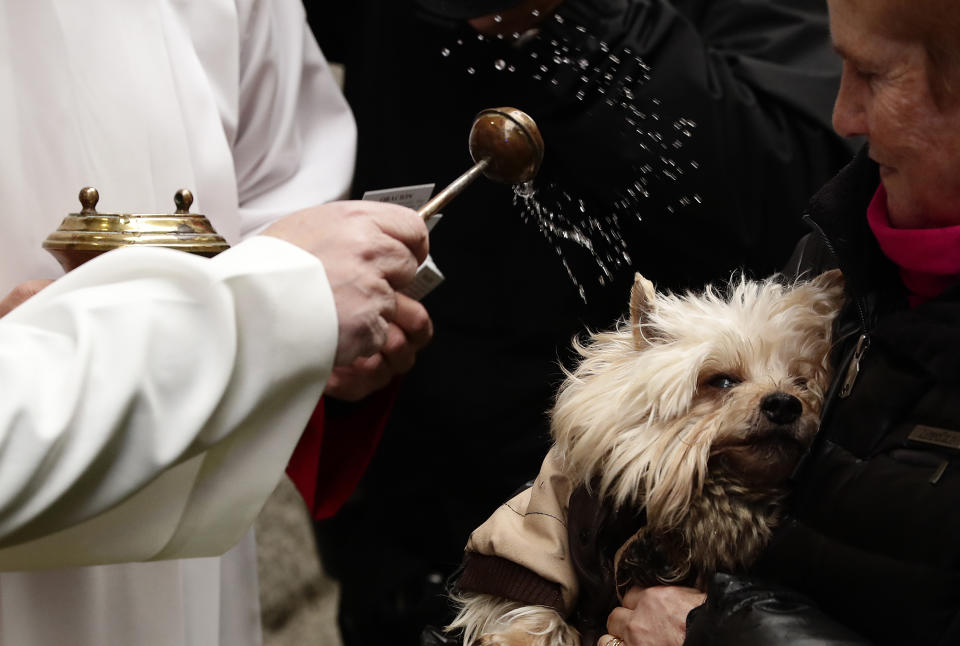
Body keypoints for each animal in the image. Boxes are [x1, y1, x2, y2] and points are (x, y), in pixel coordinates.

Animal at [448, 270, 840, 646]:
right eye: (722, 381)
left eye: (801, 383)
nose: (785, 404)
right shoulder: (553, 508)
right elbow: (537, 576)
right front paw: (519, 637)